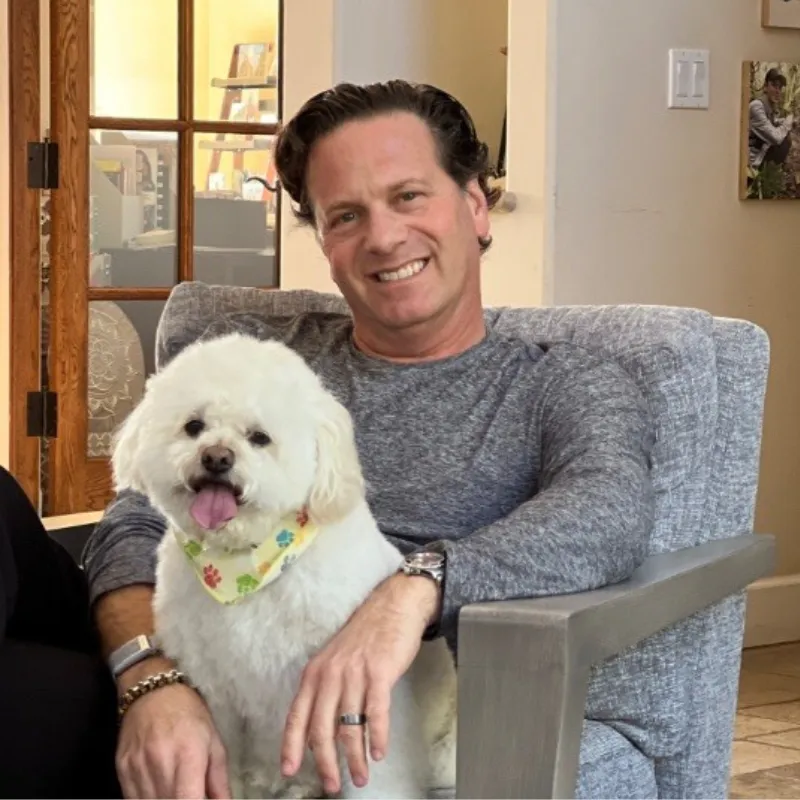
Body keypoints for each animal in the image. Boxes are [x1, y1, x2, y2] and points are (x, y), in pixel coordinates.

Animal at [111, 332, 457, 799]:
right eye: (194, 426)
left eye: (259, 437)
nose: (216, 457)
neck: (244, 568)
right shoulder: (216, 689)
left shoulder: (354, 697)